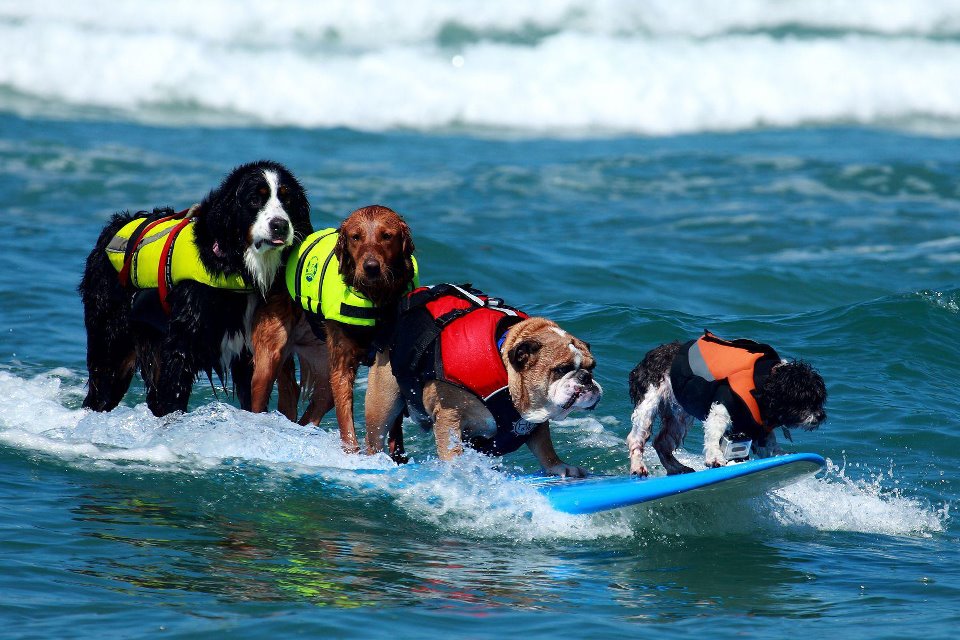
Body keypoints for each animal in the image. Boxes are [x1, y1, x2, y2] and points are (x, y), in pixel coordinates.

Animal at [80, 160, 312, 416]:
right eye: (254, 199)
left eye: (287, 199)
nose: (280, 225)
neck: (240, 269)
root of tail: (114, 227)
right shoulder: (181, 345)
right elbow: (173, 397)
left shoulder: (250, 353)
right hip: (112, 345)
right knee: (102, 390)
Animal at [624, 336, 824, 476]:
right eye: (804, 399)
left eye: (819, 399)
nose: (820, 416)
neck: (761, 382)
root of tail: (650, 355)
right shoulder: (722, 407)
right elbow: (714, 434)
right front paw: (714, 457)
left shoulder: (757, 427)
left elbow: (769, 445)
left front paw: (781, 454)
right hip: (650, 402)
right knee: (636, 438)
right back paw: (638, 466)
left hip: (678, 415)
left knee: (662, 442)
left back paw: (676, 467)